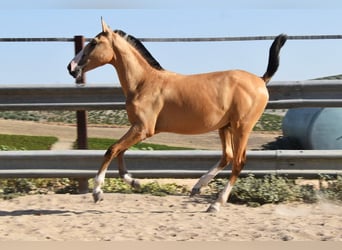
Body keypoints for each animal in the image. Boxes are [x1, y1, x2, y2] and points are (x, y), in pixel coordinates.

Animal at [67, 18, 286, 212]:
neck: (144, 83)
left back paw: (215, 204)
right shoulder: (137, 128)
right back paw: (197, 187)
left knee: (238, 162)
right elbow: (120, 151)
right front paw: (135, 182)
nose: (71, 67)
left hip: (242, 127)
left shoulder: (143, 129)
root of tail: (261, 80)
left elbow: (111, 150)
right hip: (225, 127)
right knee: (227, 157)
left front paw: (97, 192)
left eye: (94, 43)